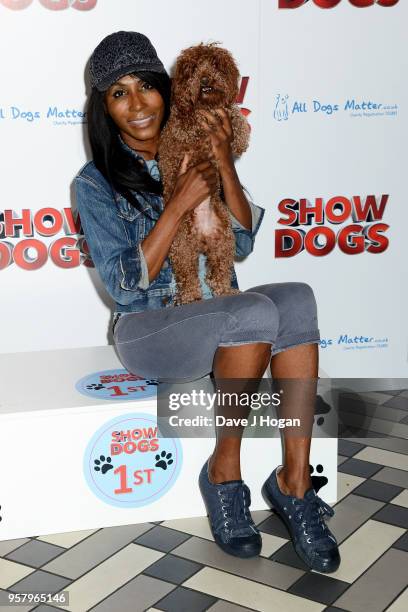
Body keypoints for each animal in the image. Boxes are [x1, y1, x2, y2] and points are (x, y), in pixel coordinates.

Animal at [159, 43, 249, 306]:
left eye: (215, 64)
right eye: (193, 69)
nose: (206, 78)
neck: (207, 106)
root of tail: (202, 237)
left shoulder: (224, 111)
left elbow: (234, 114)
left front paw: (241, 138)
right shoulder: (183, 123)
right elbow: (191, 121)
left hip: (224, 243)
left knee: (216, 276)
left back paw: (226, 291)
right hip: (181, 246)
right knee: (189, 276)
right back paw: (189, 297)